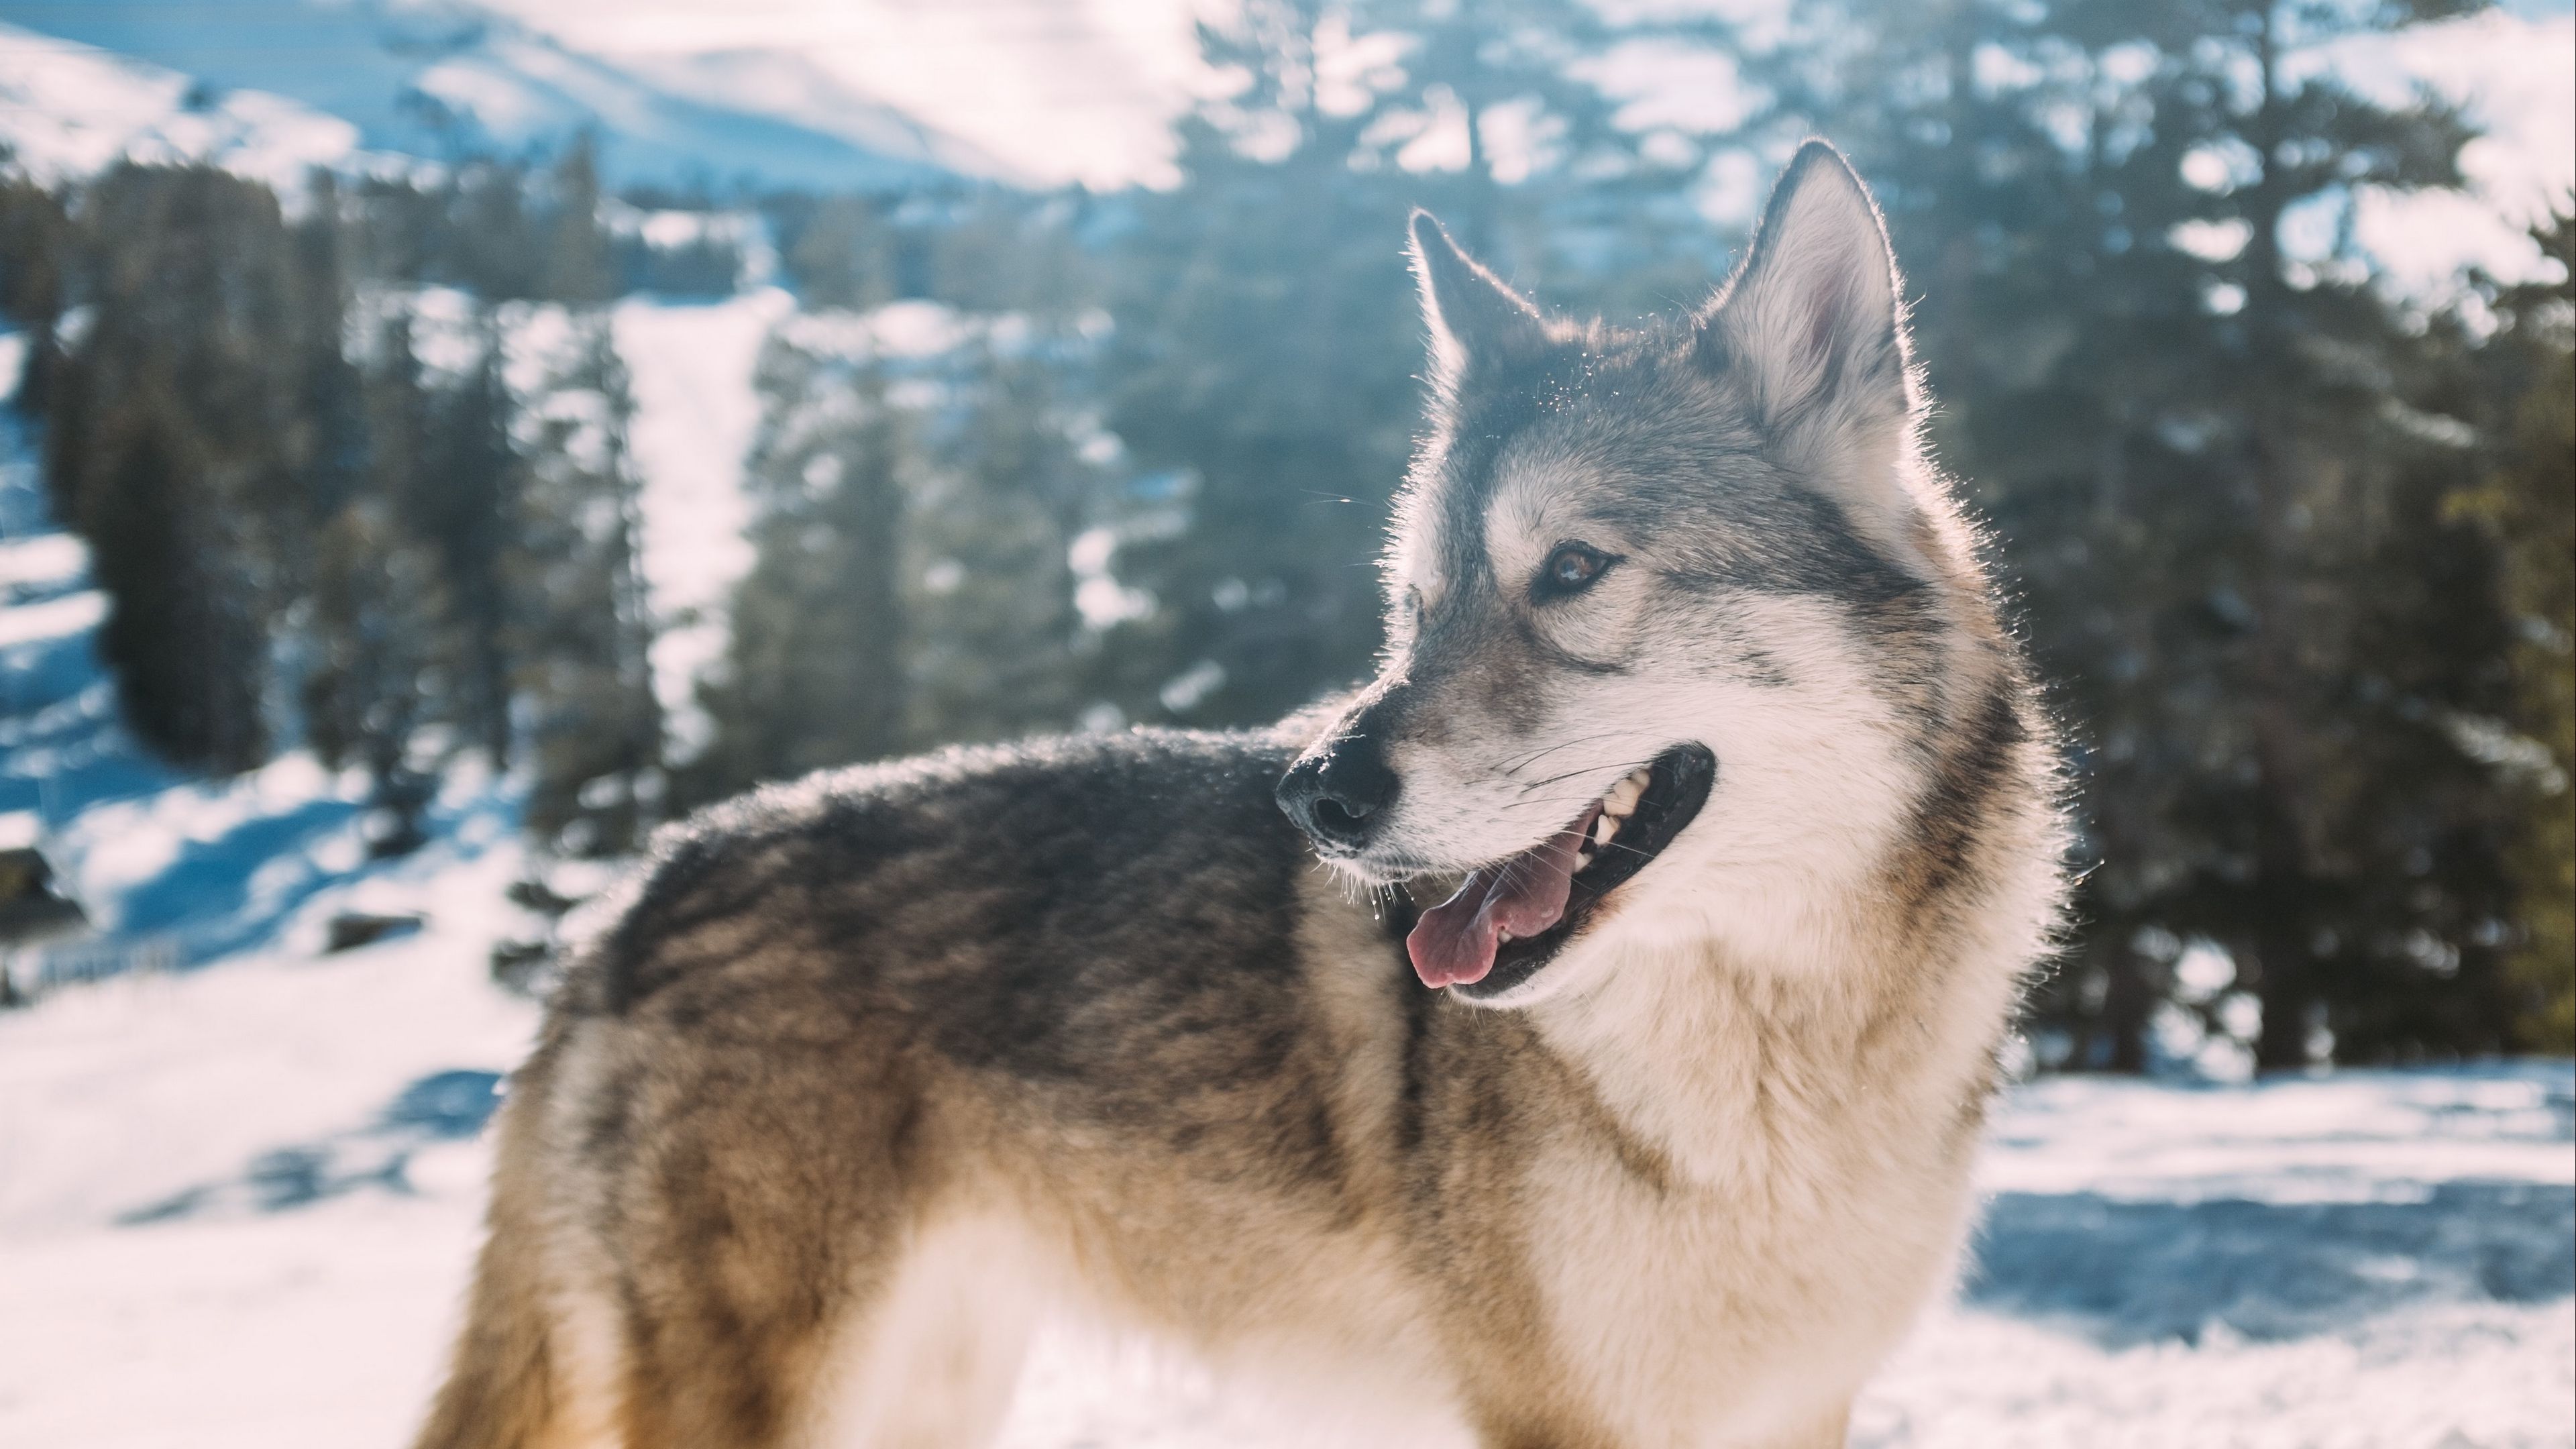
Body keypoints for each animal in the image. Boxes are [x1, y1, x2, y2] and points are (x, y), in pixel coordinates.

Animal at [415, 141, 2067, 1449]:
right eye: (1415, 607)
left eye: (1574, 571)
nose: (1316, 793)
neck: (1784, 1060)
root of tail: (639, 893)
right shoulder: (1556, 1417)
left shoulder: (1797, 1407)